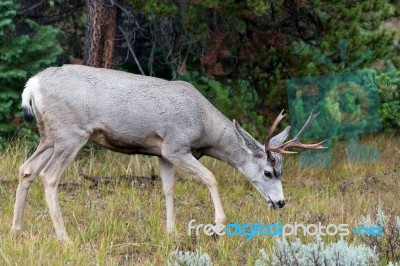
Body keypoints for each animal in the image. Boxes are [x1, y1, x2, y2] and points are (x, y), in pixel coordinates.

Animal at [12, 65, 324, 241]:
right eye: (268, 172)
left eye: (281, 170)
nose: (280, 202)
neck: (205, 127)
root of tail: (31, 85)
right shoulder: (176, 146)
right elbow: (211, 177)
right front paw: (217, 227)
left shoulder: (161, 153)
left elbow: (168, 189)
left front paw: (171, 231)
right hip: (70, 133)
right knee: (49, 176)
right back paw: (63, 237)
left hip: (49, 135)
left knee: (26, 169)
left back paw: (17, 230)